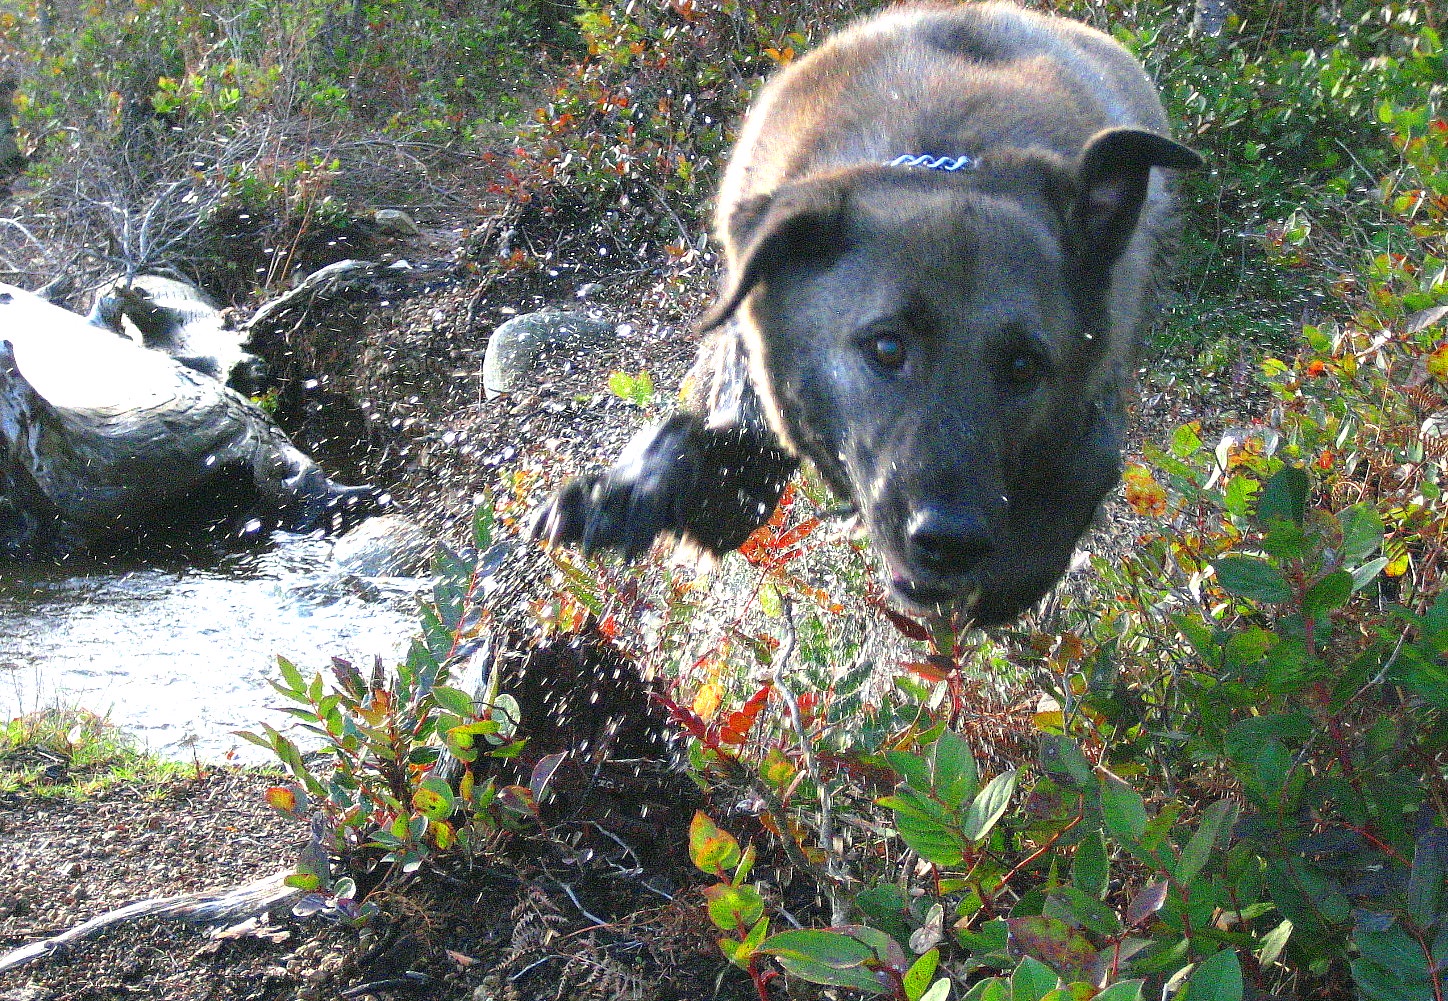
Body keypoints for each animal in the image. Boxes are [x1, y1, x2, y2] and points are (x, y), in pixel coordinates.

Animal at [532, 1, 1198, 625]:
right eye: (886, 346)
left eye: (1024, 365)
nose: (948, 541)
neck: (948, 159)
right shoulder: (749, 419)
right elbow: (692, 446)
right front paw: (617, 493)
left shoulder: (1088, 429)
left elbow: (1061, 503)